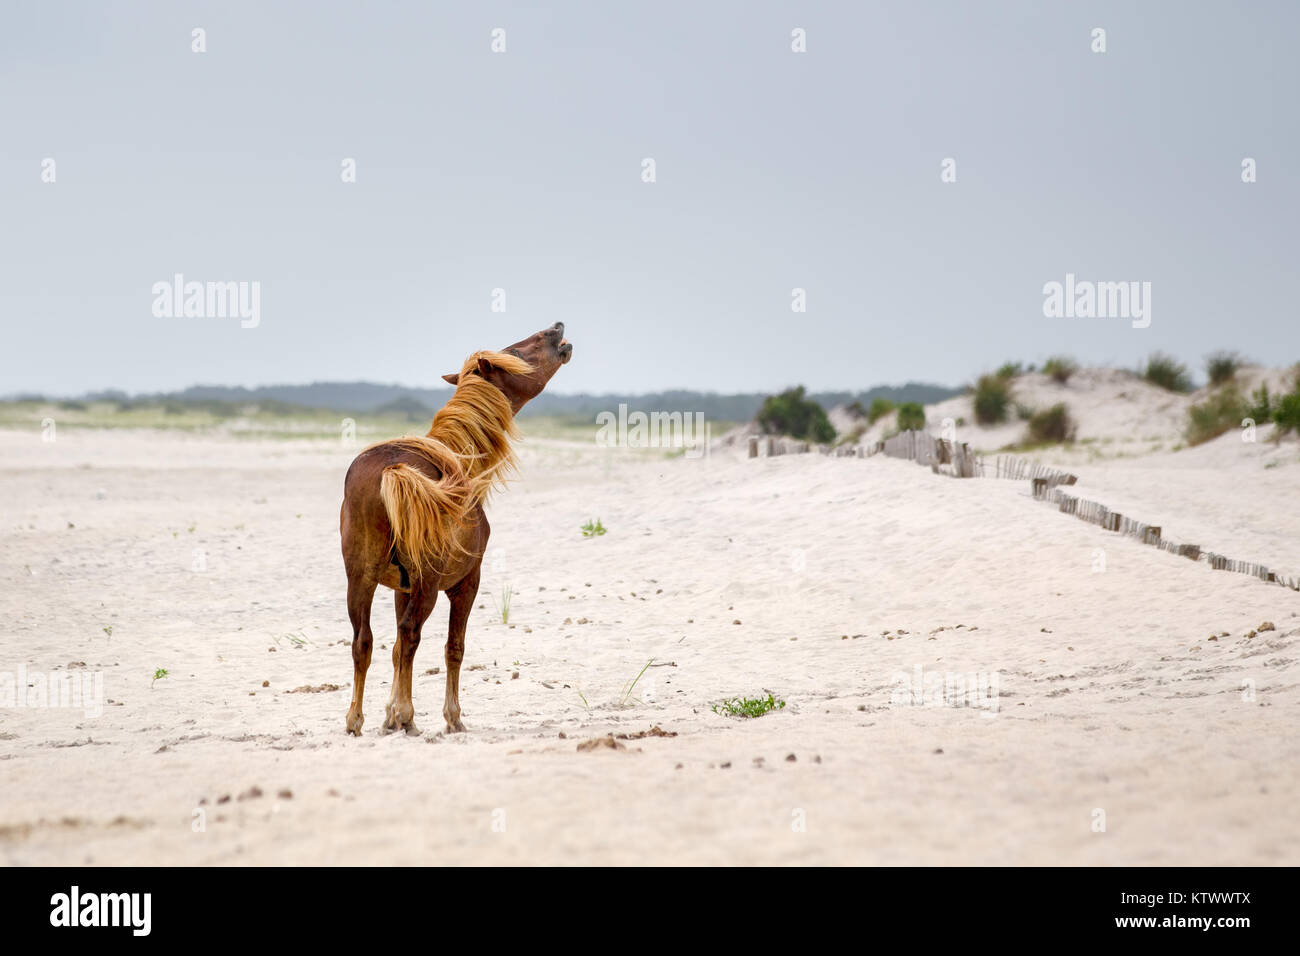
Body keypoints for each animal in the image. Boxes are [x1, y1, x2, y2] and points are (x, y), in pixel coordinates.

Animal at [339, 322, 573, 736]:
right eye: (516, 351)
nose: (556, 327)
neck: (461, 459)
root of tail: (391, 470)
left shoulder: (400, 587)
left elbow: (394, 650)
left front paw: (387, 716)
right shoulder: (466, 583)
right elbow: (453, 648)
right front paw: (450, 718)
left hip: (361, 579)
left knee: (363, 642)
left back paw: (356, 720)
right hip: (429, 585)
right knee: (412, 635)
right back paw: (409, 717)